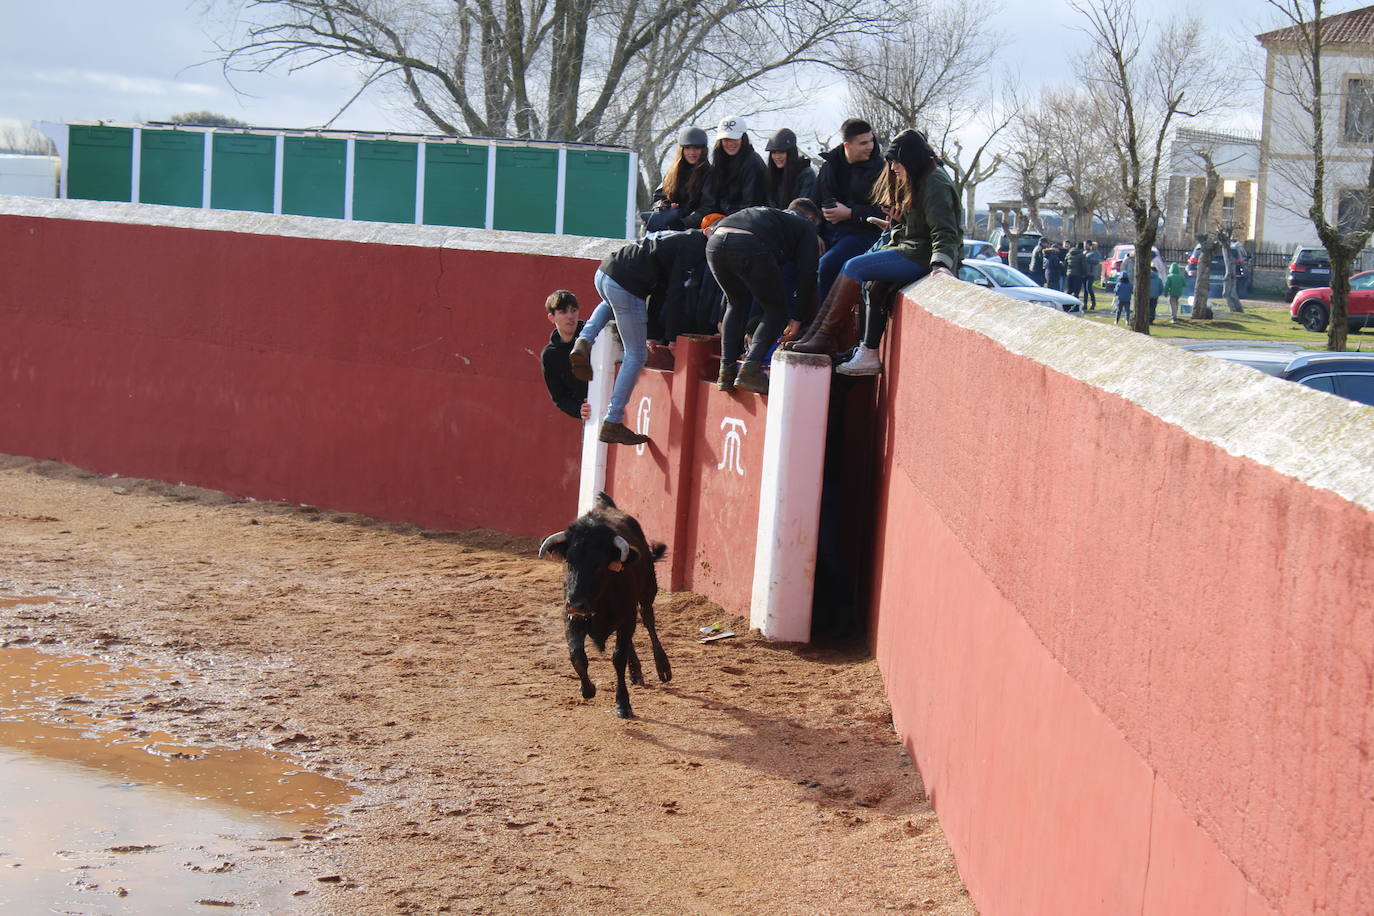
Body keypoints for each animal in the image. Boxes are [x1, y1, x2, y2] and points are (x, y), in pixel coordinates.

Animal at [535, 494, 670, 714]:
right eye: (569, 562)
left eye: (598, 566)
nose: (575, 604)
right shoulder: (572, 618)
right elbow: (577, 656)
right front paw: (587, 689)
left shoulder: (627, 617)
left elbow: (618, 658)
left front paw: (623, 704)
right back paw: (636, 673)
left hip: (648, 590)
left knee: (649, 620)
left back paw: (663, 668)